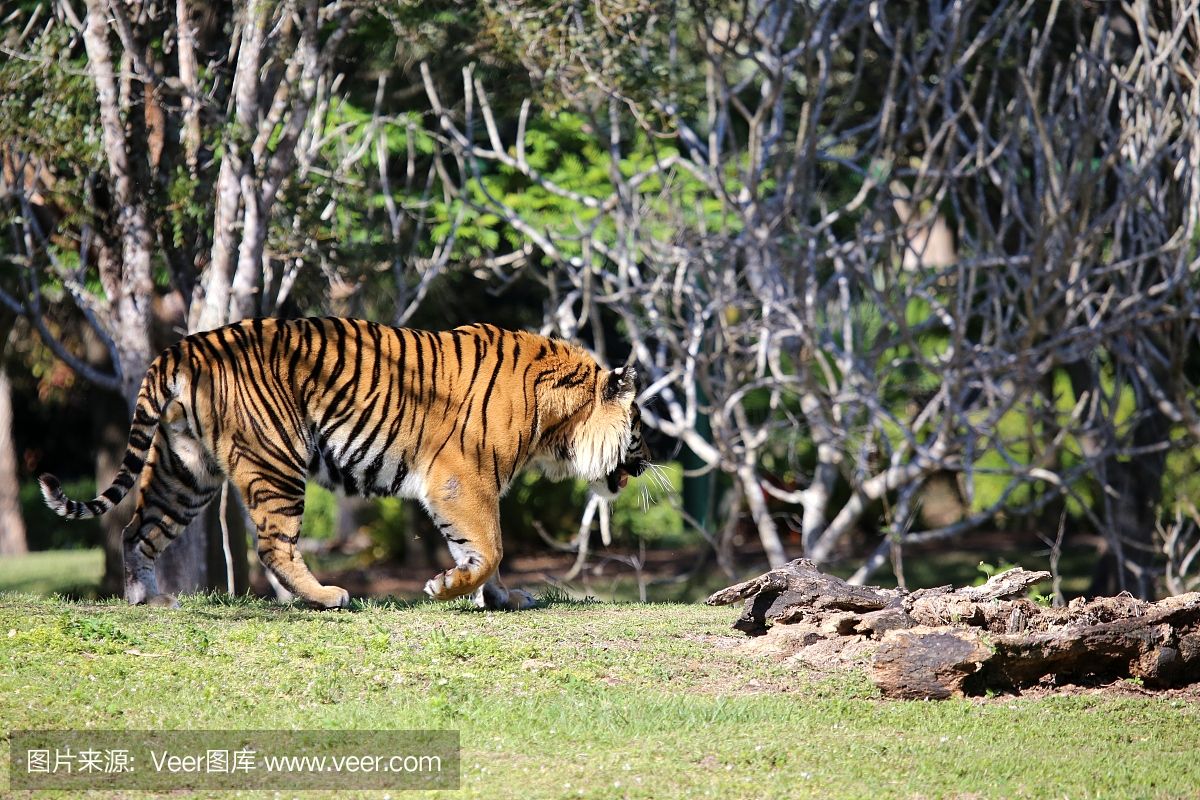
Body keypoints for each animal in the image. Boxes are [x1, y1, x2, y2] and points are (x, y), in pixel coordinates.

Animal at [39, 316, 648, 609]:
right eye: (640, 430)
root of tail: (187, 346)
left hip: (184, 470)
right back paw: (327, 597)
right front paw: (445, 589)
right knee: (273, 545)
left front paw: (500, 598)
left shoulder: (467, 485)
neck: (556, 420)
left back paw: (148, 599)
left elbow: (482, 552)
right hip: (277, 459)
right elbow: (491, 546)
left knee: (137, 530)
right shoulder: (460, 478)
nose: (647, 464)